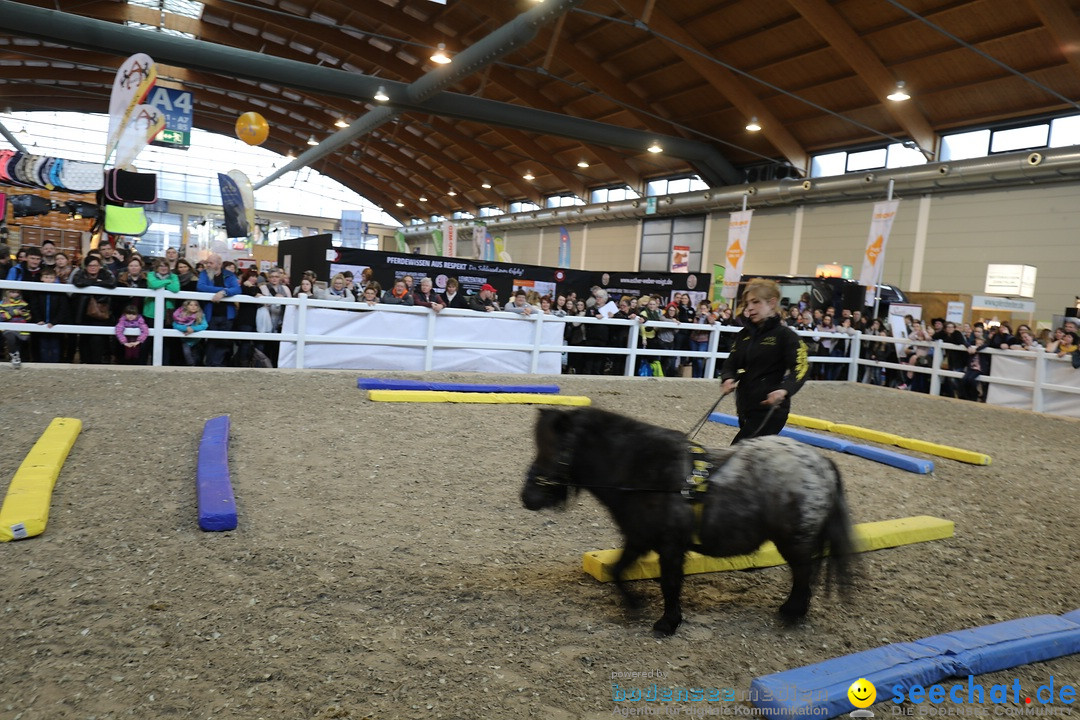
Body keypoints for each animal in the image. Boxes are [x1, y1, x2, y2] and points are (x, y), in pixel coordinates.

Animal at [518, 405, 855, 634]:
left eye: (553, 449)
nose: (527, 497)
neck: (643, 471)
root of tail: (822, 463)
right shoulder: (639, 538)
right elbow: (617, 571)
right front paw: (635, 605)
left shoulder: (670, 545)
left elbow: (669, 582)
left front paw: (668, 622)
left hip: (793, 540)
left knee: (802, 573)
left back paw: (792, 612)